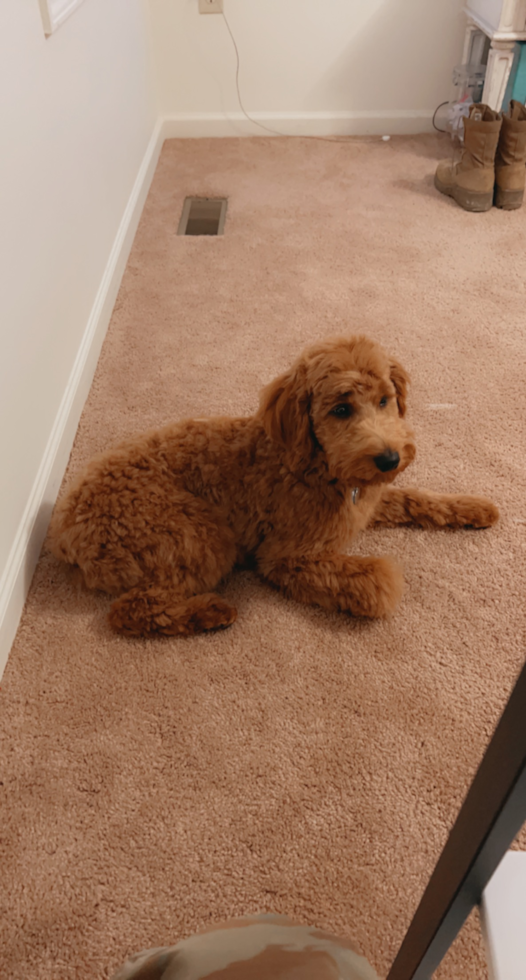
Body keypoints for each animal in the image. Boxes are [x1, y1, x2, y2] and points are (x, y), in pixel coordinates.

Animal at [48, 336, 500, 636]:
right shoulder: (286, 557)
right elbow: (378, 583)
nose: (389, 458)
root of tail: (64, 532)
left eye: (385, 400)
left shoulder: (367, 501)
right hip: (203, 538)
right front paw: (383, 582)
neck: (315, 465)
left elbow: (414, 498)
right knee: (129, 610)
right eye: (341, 409)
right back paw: (208, 613)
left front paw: (472, 508)